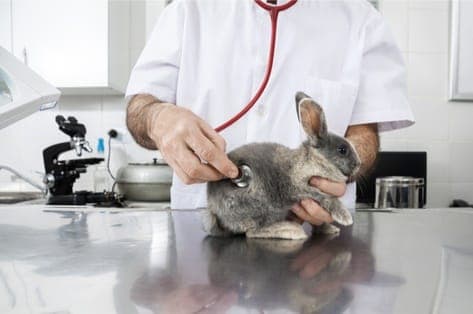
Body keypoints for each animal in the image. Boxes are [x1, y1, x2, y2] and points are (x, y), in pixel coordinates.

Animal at [204, 92, 362, 239]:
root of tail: (214, 210)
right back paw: (290, 230)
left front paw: (329, 229)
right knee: (252, 232)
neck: (315, 161)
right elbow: (326, 198)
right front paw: (345, 217)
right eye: (342, 150)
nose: (358, 164)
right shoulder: (300, 189)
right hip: (259, 205)